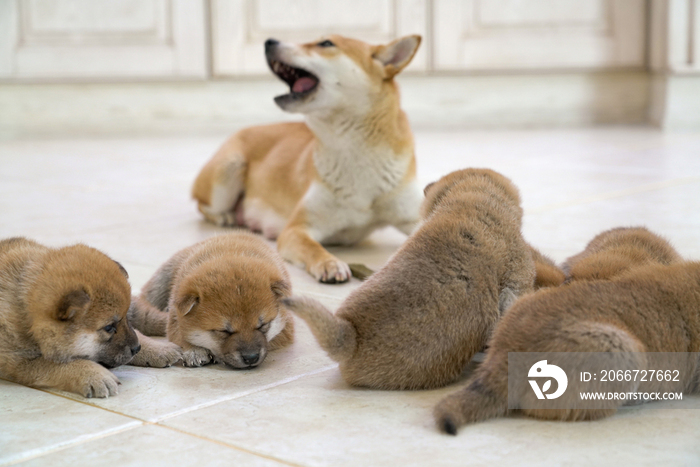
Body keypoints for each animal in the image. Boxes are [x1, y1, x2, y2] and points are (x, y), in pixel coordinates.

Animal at [0, 238, 141, 398]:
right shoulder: (18, 363)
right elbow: (58, 365)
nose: (137, 348)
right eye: (109, 327)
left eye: (126, 317)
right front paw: (94, 374)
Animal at [130, 234, 294, 370]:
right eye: (224, 331)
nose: (251, 358)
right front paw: (194, 351)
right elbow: (180, 335)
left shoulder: (286, 329)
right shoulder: (175, 318)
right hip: (160, 283)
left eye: (263, 325)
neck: (230, 253)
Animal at [190, 34, 422, 284]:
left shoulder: (414, 215)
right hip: (228, 171)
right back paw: (225, 216)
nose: (269, 41)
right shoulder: (296, 229)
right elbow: (313, 248)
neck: (356, 152)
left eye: (326, 44)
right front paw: (329, 263)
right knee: (202, 205)